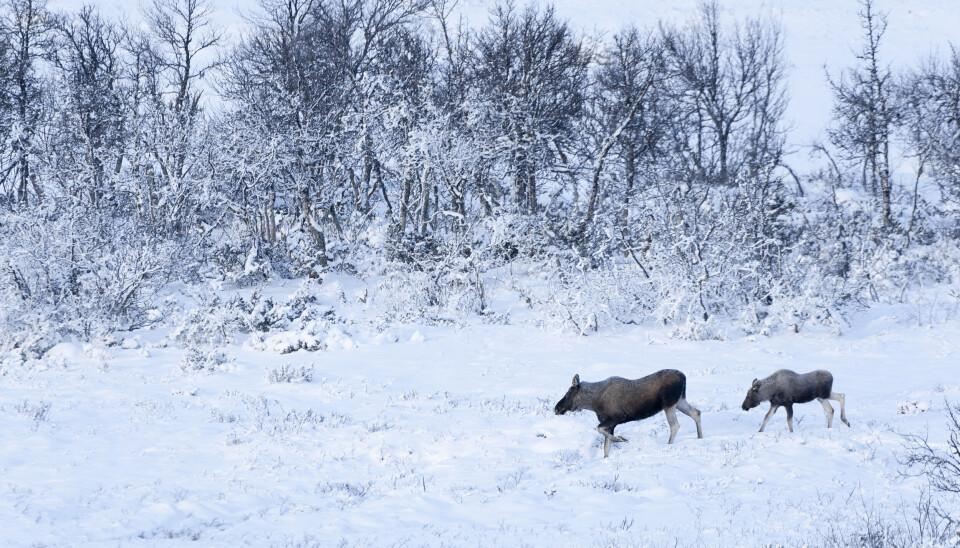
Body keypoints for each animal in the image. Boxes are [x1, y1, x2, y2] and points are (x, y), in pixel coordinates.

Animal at [552, 368, 700, 458]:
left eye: (567, 393)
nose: (556, 408)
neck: (594, 403)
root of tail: (684, 377)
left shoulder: (617, 417)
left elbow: (599, 429)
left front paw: (621, 439)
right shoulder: (611, 424)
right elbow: (606, 448)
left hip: (669, 404)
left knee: (675, 425)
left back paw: (669, 445)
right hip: (679, 401)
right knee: (696, 413)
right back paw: (700, 438)